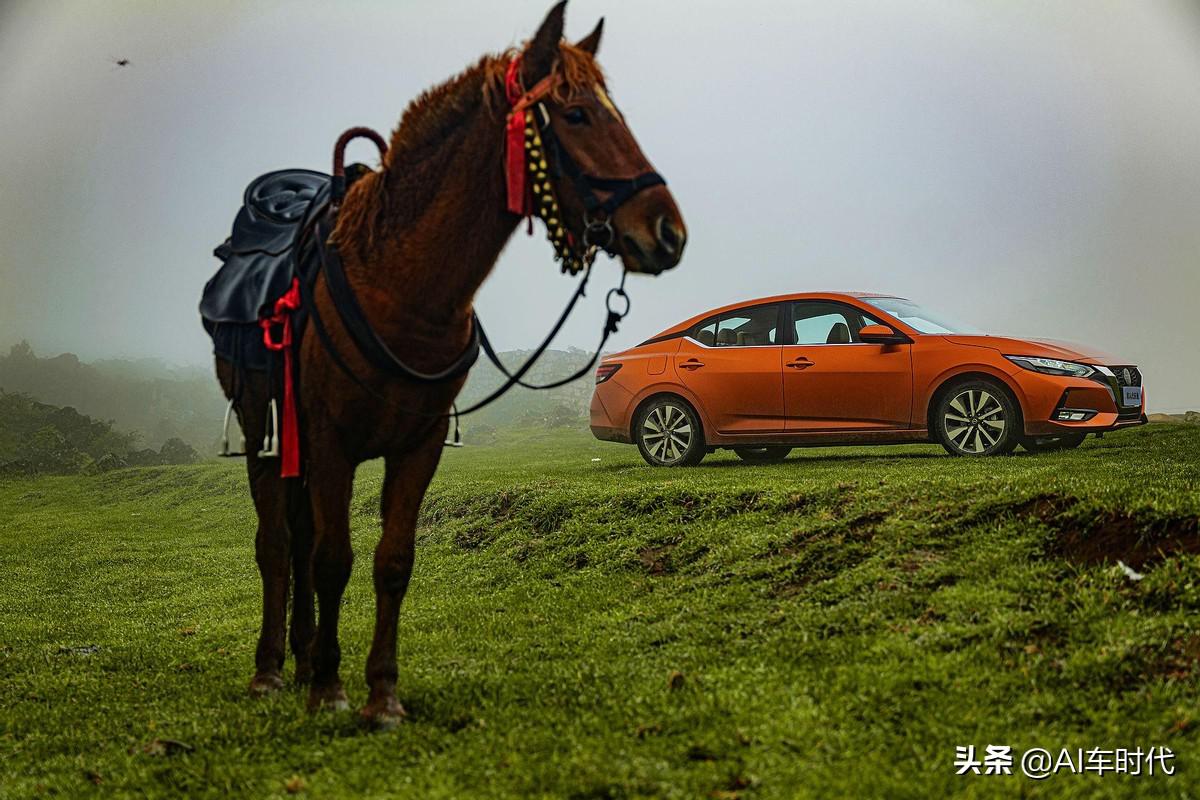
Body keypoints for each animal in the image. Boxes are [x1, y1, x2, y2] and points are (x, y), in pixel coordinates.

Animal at [216, 0, 686, 724]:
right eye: (577, 114)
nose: (667, 231)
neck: (398, 285)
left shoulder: (421, 442)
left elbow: (392, 560)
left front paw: (381, 693)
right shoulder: (330, 438)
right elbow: (331, 559)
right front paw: (330, 687)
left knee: (296, 536)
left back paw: (300, 657)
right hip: (262, 426)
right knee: (276, 544)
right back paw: (273, 669)